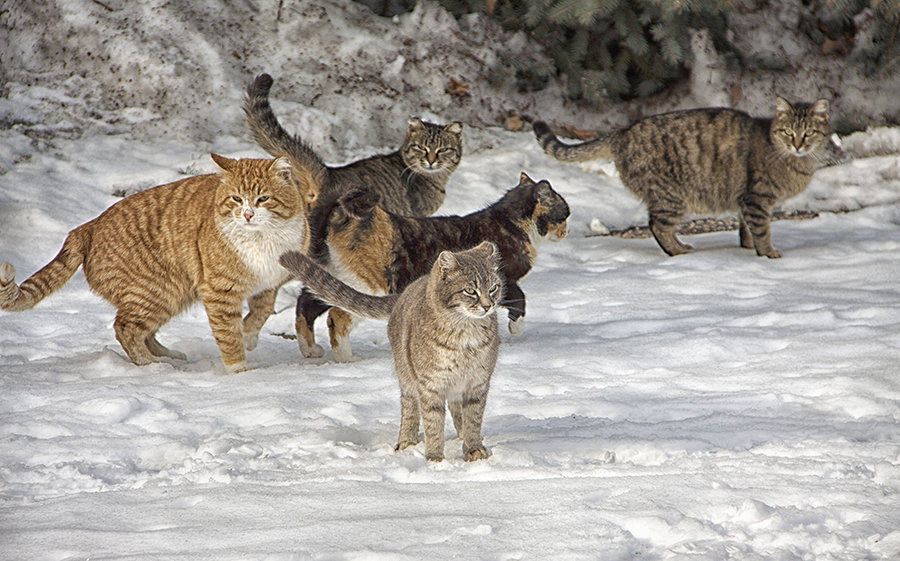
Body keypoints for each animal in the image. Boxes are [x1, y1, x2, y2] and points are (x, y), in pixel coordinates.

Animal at [0, 153, 316, 372]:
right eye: (237, 199)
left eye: (263, 199)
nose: (248, 215)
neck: (262, 239)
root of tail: (86, 227)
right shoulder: (219, 292)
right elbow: (228, 335)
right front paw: (240, 372)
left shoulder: (269, 283)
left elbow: (260, 313)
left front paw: (249, 336)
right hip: (158, 291)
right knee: (125, 328)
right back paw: (151, 365)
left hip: (172, 294)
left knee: (143, 331)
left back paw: (167, 356)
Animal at [278, 241, 502, 464]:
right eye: (470, 290)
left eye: (493, 288)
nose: (488, 305)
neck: (466, 336)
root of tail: (404, 292)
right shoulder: (430, 385)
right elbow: (433, 422)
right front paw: (435, 458)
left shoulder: (477, 383)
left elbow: (472, 419)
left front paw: (473, 450)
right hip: (407, 377)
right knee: (410, 409)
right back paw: (407, 442)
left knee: (455, 409)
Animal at [532, 96, 832, 258]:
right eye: (788, 132)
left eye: (809, 133)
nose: (797, 145)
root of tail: (622, 133)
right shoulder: (756, 199)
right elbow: (761, 229)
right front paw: (767, 253)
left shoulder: (744, 201)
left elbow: (746, 228)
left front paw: (747, 247)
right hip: (672, 198)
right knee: (657, 226)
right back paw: (678, 250)